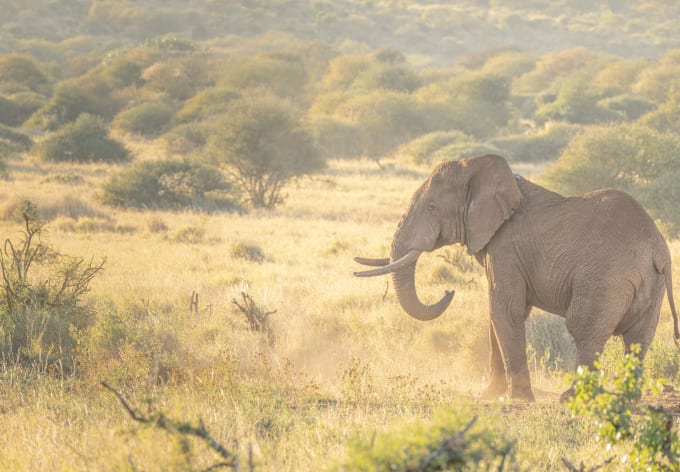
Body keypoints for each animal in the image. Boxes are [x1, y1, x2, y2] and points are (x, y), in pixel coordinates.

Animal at [354, 154, 679, 401]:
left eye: (432, 208)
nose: (448, 292)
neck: (478, 170)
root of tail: (657, 250)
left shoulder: (506, 248)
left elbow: (505, 310)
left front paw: (518, 399)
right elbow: (498, 314)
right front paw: (490, 396)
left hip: (605, 279)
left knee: (585, 331)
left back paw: (570, 399)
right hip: (650, 285)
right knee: (637, 340)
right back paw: (628, 399)